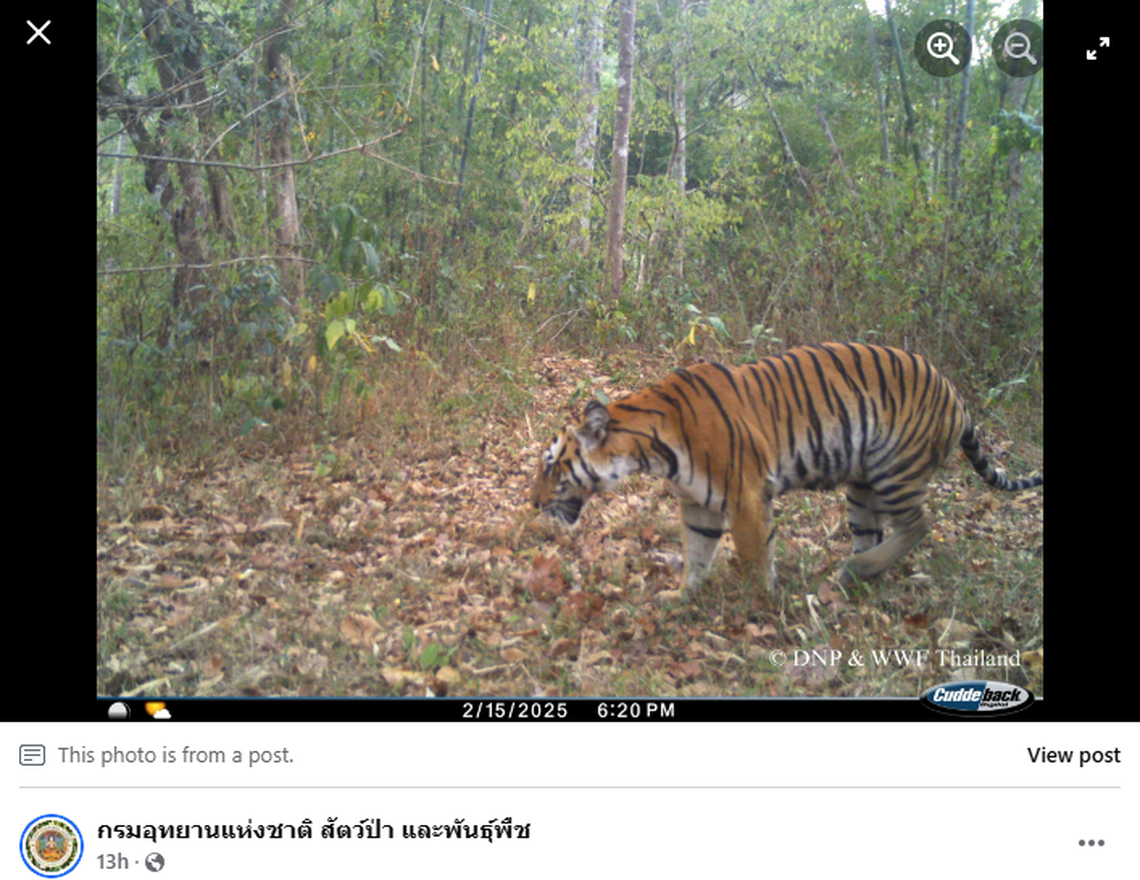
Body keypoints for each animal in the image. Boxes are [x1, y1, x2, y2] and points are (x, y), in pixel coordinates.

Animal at [530, 342, 1042, 596]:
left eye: (552, 466)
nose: (533, 504)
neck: (650, 449)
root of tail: (956, 392)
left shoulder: (746, 495)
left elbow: (754, 554)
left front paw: (759, 605)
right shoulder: (699, 505)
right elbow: (697, 554)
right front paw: (680, 598)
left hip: (896, 469)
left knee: (918, 524)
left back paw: (856, 571)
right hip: (861, 488)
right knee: (875, 532)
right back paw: (851, 579)